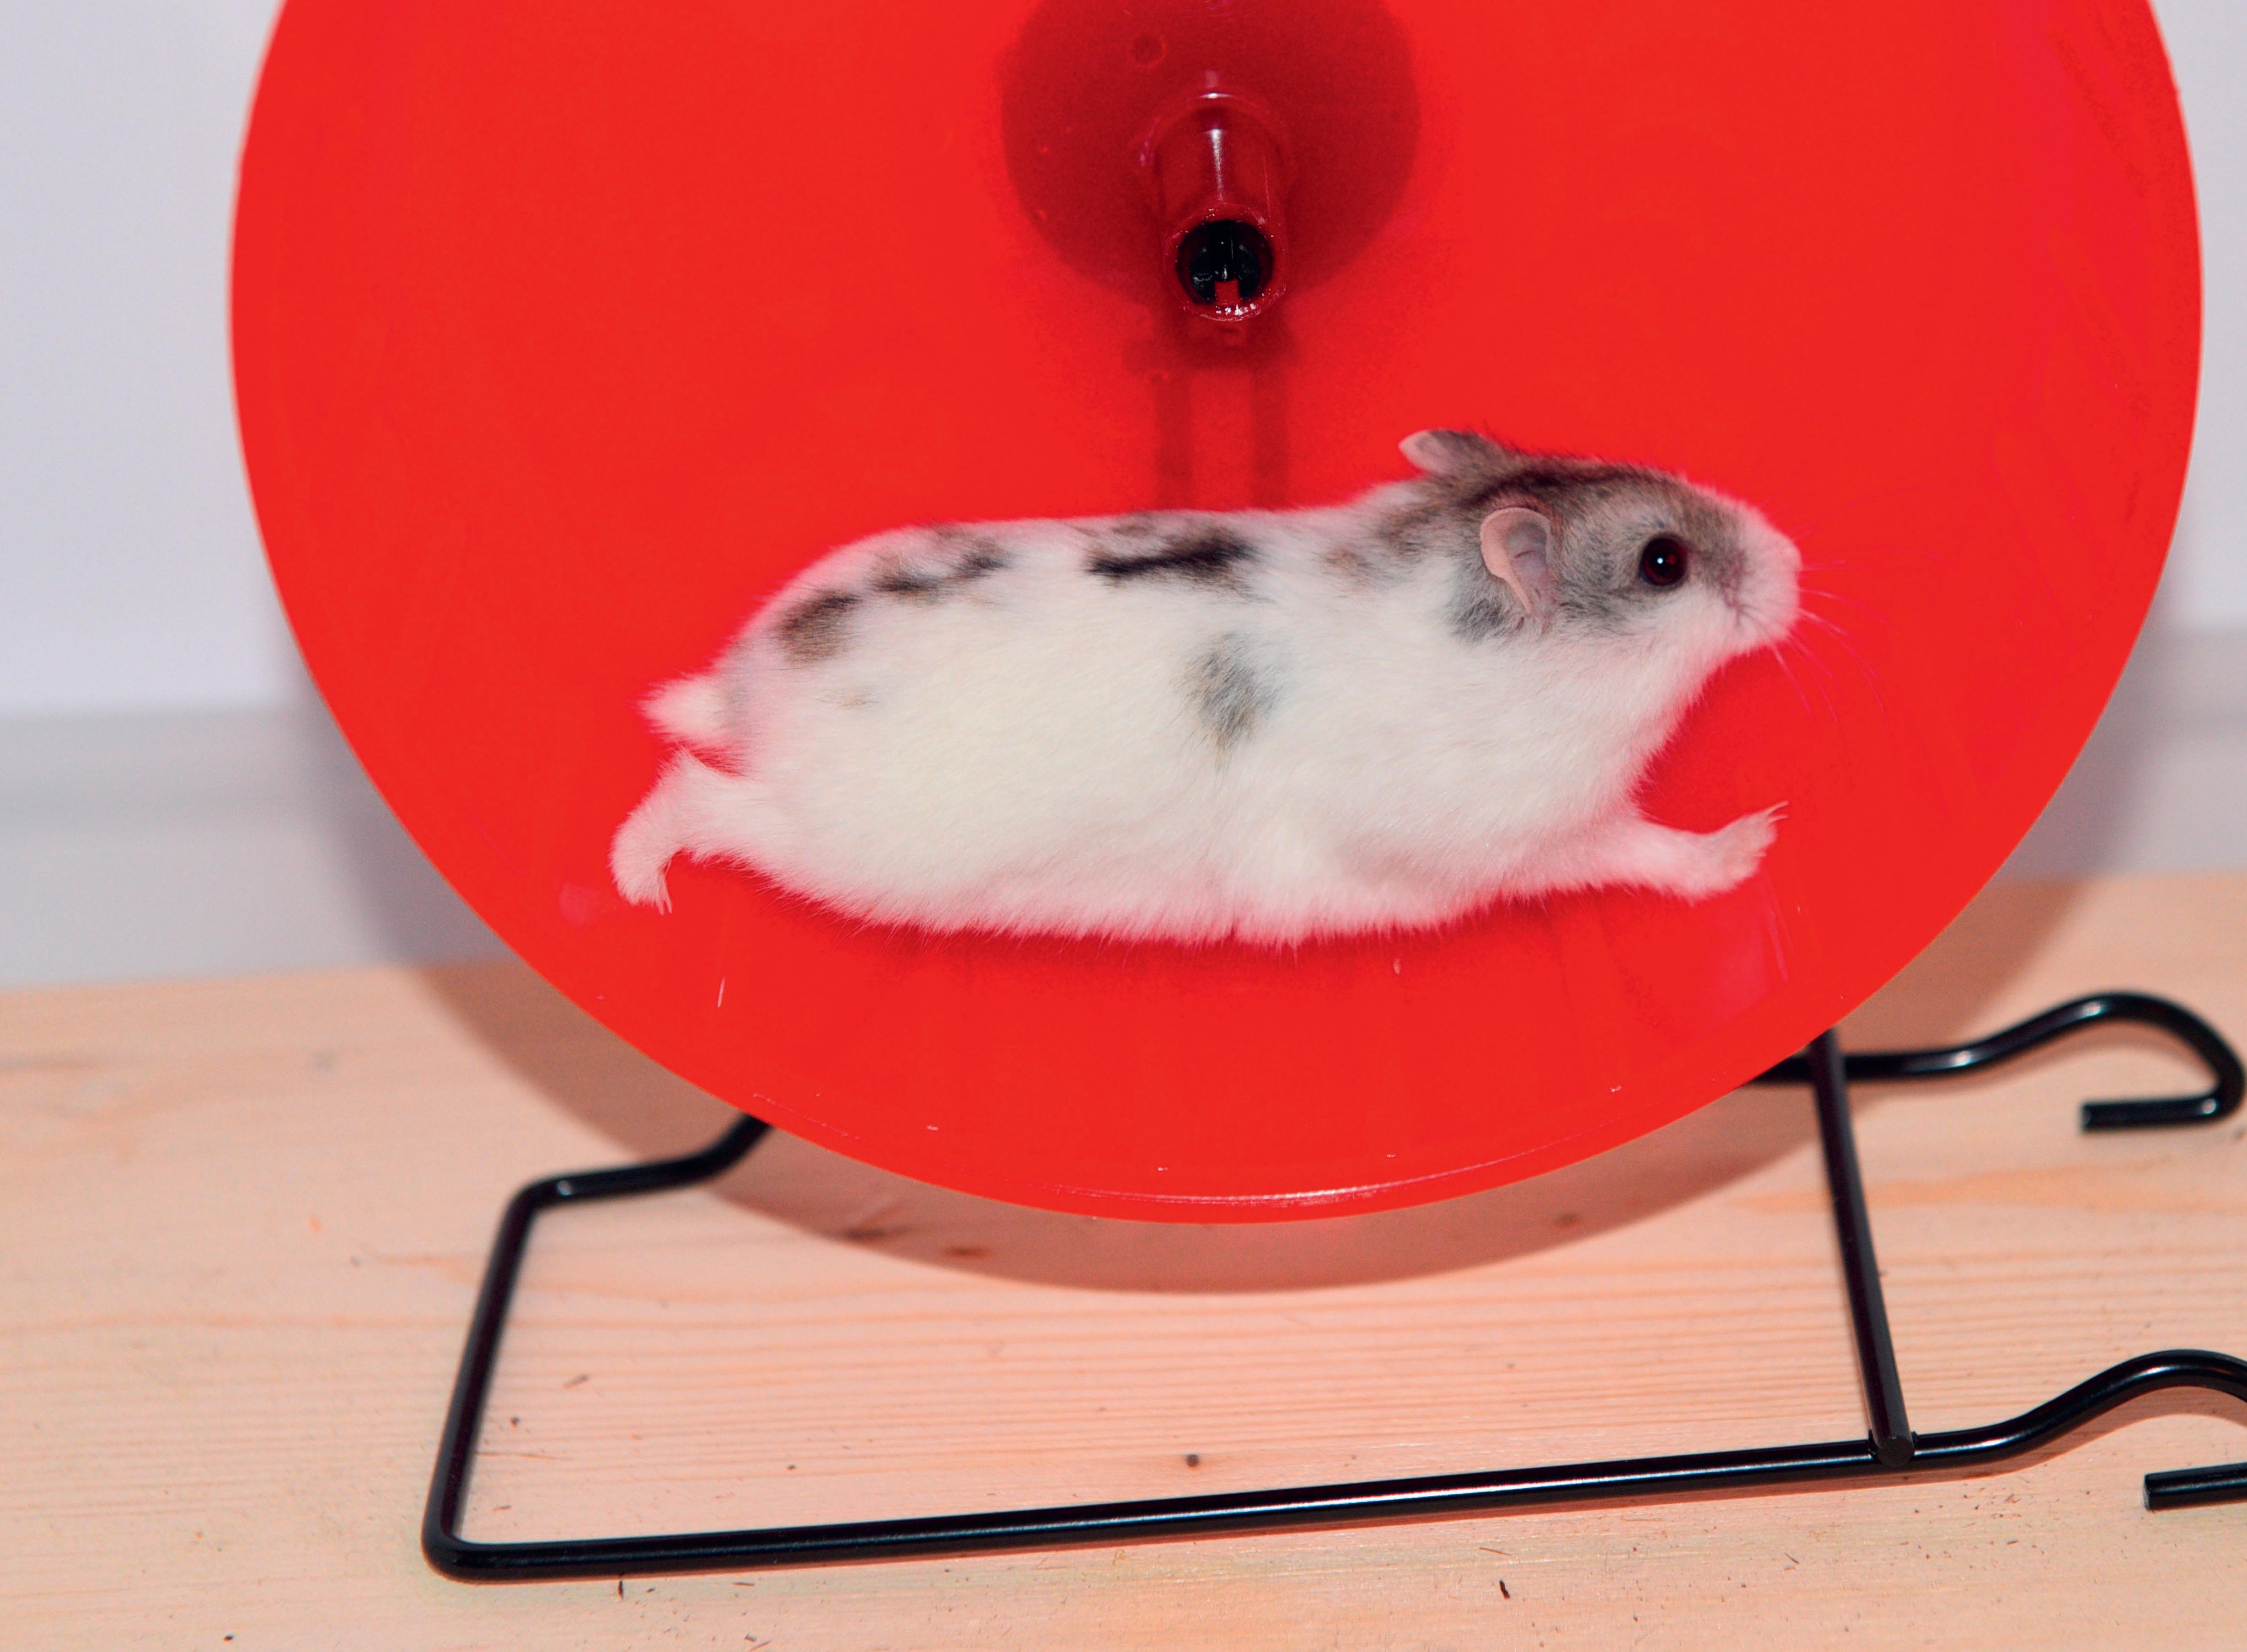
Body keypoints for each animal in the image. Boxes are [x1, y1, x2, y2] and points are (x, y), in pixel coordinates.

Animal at [611, 428, 1800, 943]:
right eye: (1661, 563)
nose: (1792, 561)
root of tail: (755, 687)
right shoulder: (1540, 833)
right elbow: (1647, 850)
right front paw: (1758, 841)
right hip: (831, 846)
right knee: (689, 792)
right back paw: (641, 890)